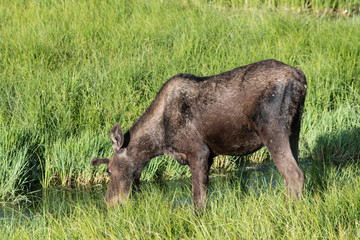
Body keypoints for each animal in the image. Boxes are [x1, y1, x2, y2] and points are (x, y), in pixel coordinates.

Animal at [90, 59, 306, 210]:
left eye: (108, 171)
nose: (109, 204)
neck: (159, 142)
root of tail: (300, 78)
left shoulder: (199, 152)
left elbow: (198, 200)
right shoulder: (208, 156)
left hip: (272, 129)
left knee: (294, 174)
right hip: (294, 129)